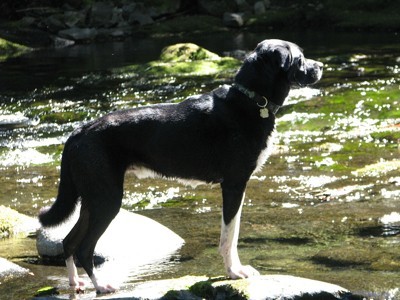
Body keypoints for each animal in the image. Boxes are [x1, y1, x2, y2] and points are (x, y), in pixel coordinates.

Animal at [39, 39, 322, 292]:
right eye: (299, 58)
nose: (320, 66)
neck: (251, 100)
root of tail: (79, 131)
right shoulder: (234, 184)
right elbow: (230, 236)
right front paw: (234, 272)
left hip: (91, 199)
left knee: (68, 242)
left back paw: (75, 283)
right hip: (107, 200)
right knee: (84, 248)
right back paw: (102, 285)